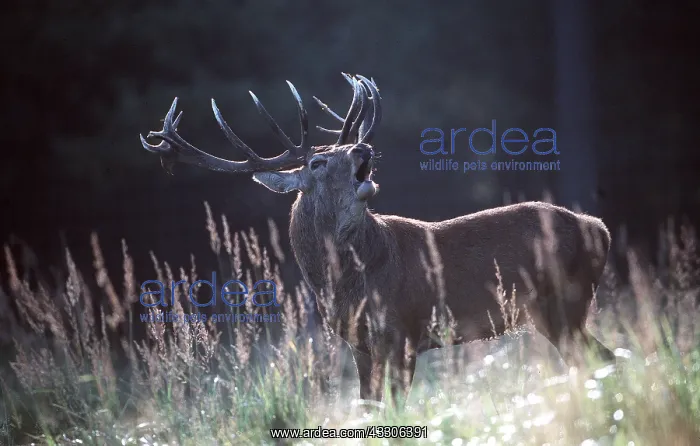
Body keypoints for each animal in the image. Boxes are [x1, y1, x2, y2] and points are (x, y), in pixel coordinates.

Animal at [140, 73, 615, 406]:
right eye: (316, 162)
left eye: (345, 150)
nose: (361, 150)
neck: (348, 283)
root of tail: (600, 228)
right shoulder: (359, 342)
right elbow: (368, 405)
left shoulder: (403, 330)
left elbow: (396, 406)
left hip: (560, 302)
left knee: (599, 358)